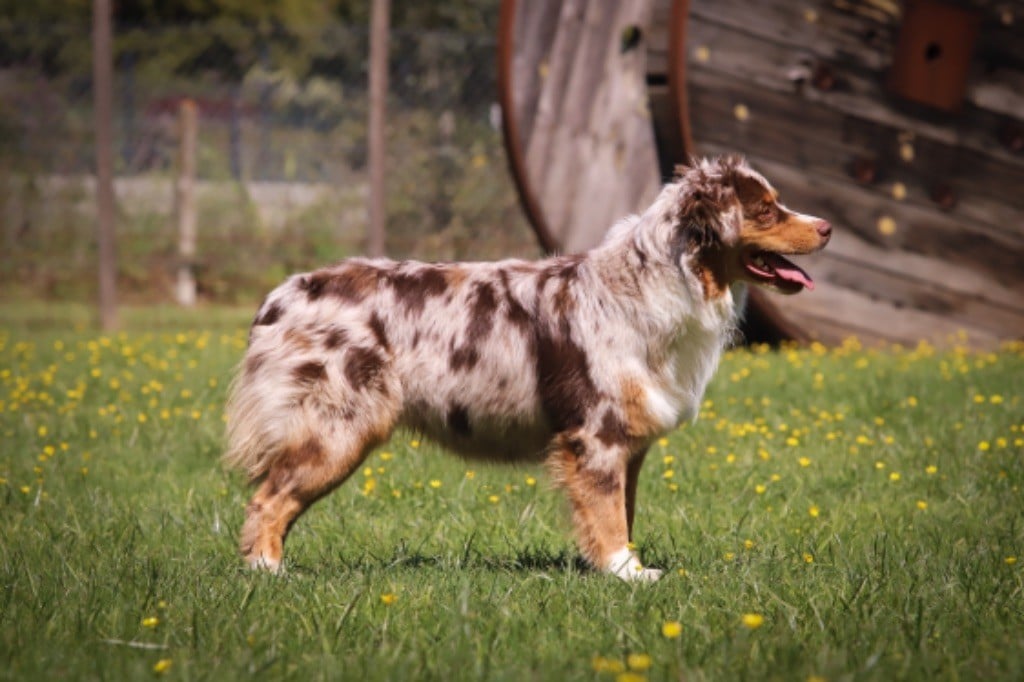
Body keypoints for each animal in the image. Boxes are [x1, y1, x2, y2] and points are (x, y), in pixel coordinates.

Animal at [226, 155, 831, 577]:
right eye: (765, 209)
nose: (826, 227)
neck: (660, 280)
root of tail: (284, 293)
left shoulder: (629, 444)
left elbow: (622, 511)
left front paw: (620, 566)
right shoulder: (596, 435)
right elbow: (608, 514)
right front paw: (628, 574)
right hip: (338, 429)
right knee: (266, 499)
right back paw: (269, 572)